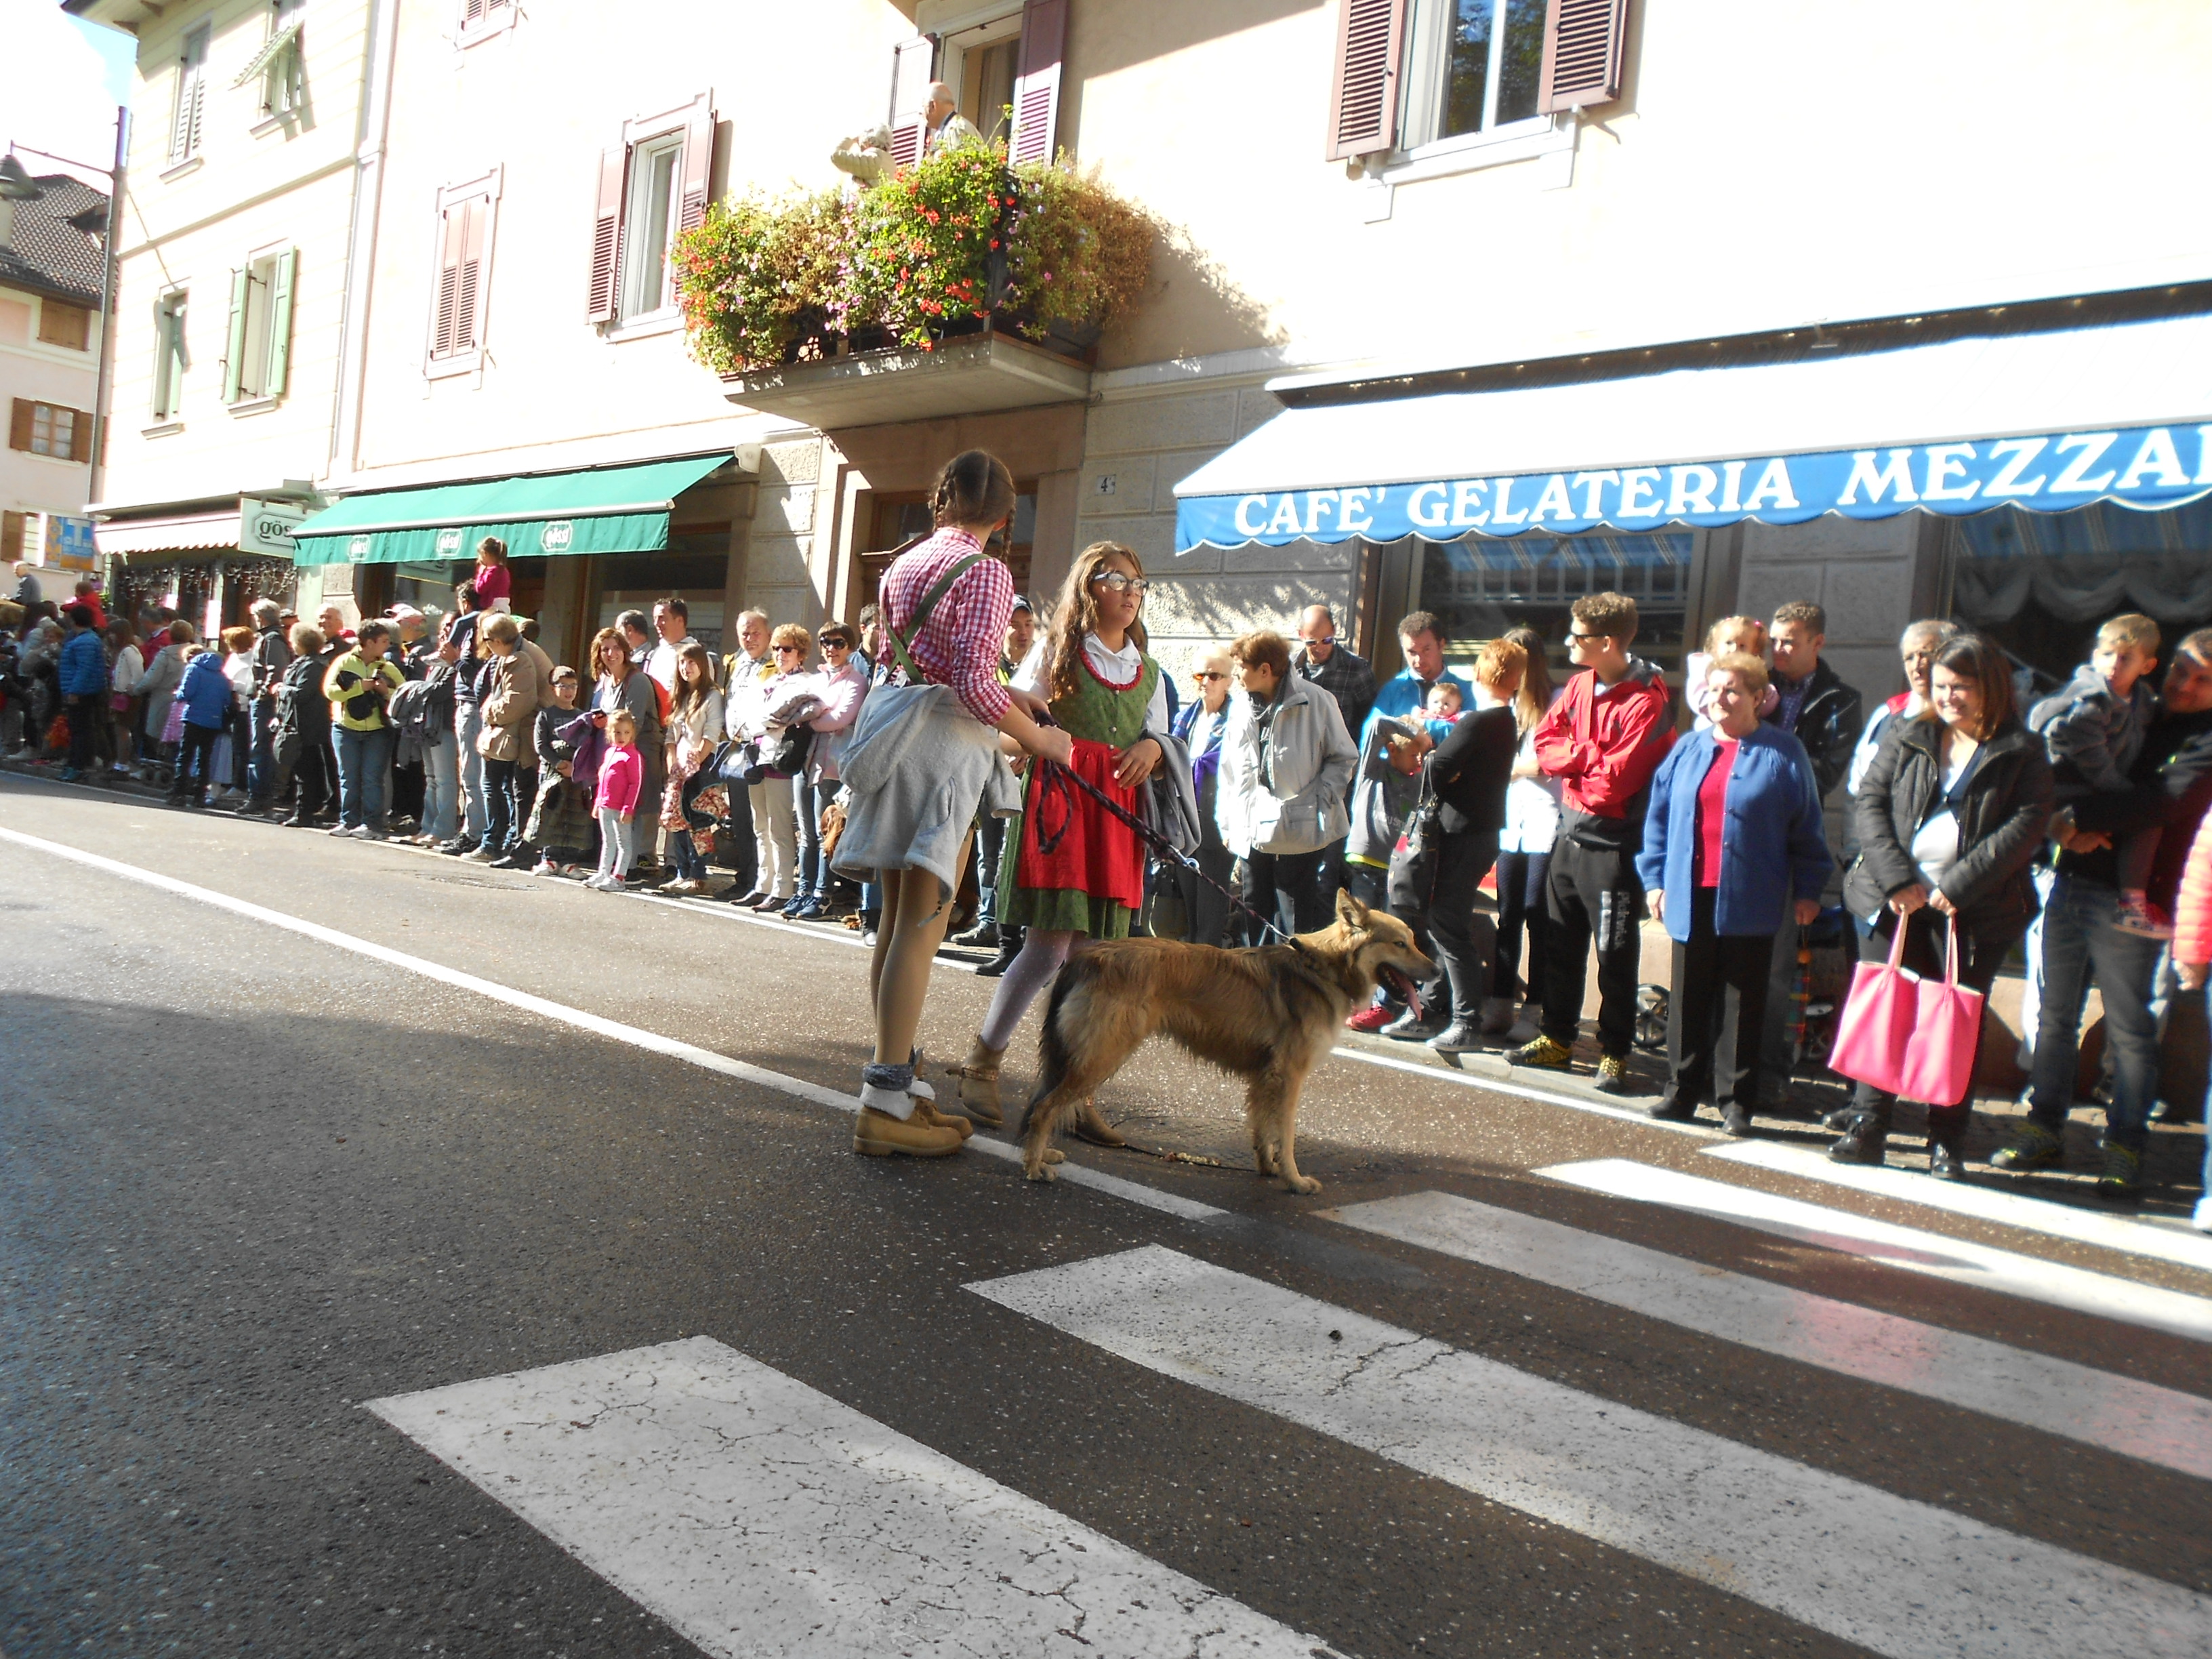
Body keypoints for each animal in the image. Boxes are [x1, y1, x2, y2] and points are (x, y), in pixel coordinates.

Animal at [1017, 898, 1433, 1194]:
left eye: (1414, 942)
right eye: (1400, 944)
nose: (1435, 972)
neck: (1323, 968)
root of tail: (1087, 956)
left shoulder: (1265, 1076)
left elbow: (1262, 1129)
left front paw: (1268, 1169)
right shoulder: (1290, 1076)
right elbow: (1286, 1135)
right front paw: (1295, 1181)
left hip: (1078, 1057)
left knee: (1045, 1104)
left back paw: (1042, 1153)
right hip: (1102, 1056)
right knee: (1045, 1108)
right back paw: (1035, 1167)